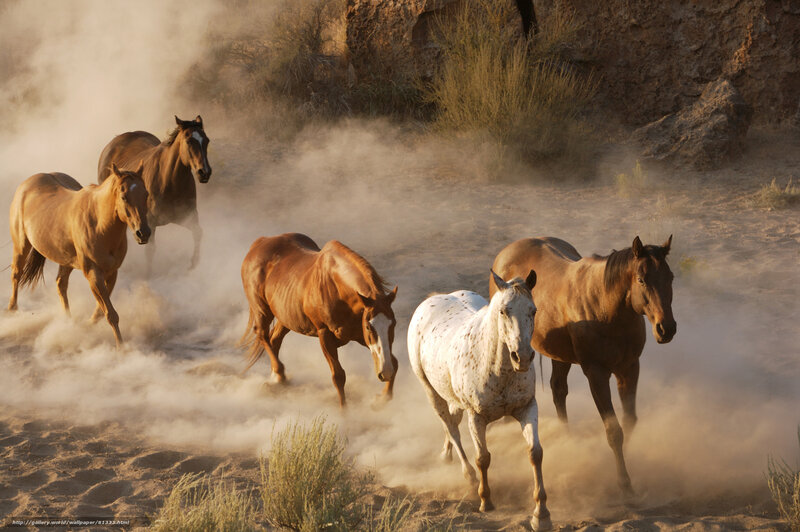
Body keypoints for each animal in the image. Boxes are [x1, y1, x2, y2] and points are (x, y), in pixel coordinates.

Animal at [7, 163, 150, 347]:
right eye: (124, 197)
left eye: (146, 194)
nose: (143, 233)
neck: (99, 224)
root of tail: (26, 184)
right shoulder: (93, 273)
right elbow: (111, 314)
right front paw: (121, 348)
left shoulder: (112, 273)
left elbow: (101, 312)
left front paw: (87, 326)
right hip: (21, 246)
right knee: (16, 274)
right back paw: (12, 310)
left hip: (66, 260)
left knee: (60, 284)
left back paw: (68, 322)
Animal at [97, 115, 211, 273]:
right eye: (189, 141)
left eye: (206, 140)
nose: (204, 172)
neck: (170, 182)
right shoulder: (149, 223)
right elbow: (150, 251)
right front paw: (148, 274)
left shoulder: (188, 216)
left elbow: (198, 232)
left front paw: (194, 264)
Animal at [239, 233, 399, 407]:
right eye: (369, 327)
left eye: (393, 324)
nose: (385, 372)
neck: (337, 288)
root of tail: (260, 242)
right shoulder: (325, 334)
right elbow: (338, 376)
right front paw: (344, 411)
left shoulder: (359, 335)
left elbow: (395, 362)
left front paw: (382, 399)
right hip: (262, 310)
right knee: (262, 334)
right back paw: (279, 375)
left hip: (285, 317)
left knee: (274, 339)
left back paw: (276, 379)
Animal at [408, 270, 551, 531]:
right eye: (504, 311)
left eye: (533, 310)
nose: (523, 357)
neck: (496, 367)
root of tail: (433, 299)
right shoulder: (477, 417)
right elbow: (483, 458)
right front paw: (486, 501)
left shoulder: (527, 408)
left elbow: (535, 453)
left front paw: (541, 514)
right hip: (431, 392)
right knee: (451, 428)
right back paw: (469, 477)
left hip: (453, 398)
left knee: (452, 423)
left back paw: (446, 455)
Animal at [491, 236, 676, 497]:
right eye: (641, 279)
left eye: (670, 277)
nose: (666, 328)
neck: (607, 309)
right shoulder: (596, 374)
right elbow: (614, 431)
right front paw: (623, 482)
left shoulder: (629, 369)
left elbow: (629, 421)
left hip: (560, 356)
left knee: (558, 390)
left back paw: (567, 438)